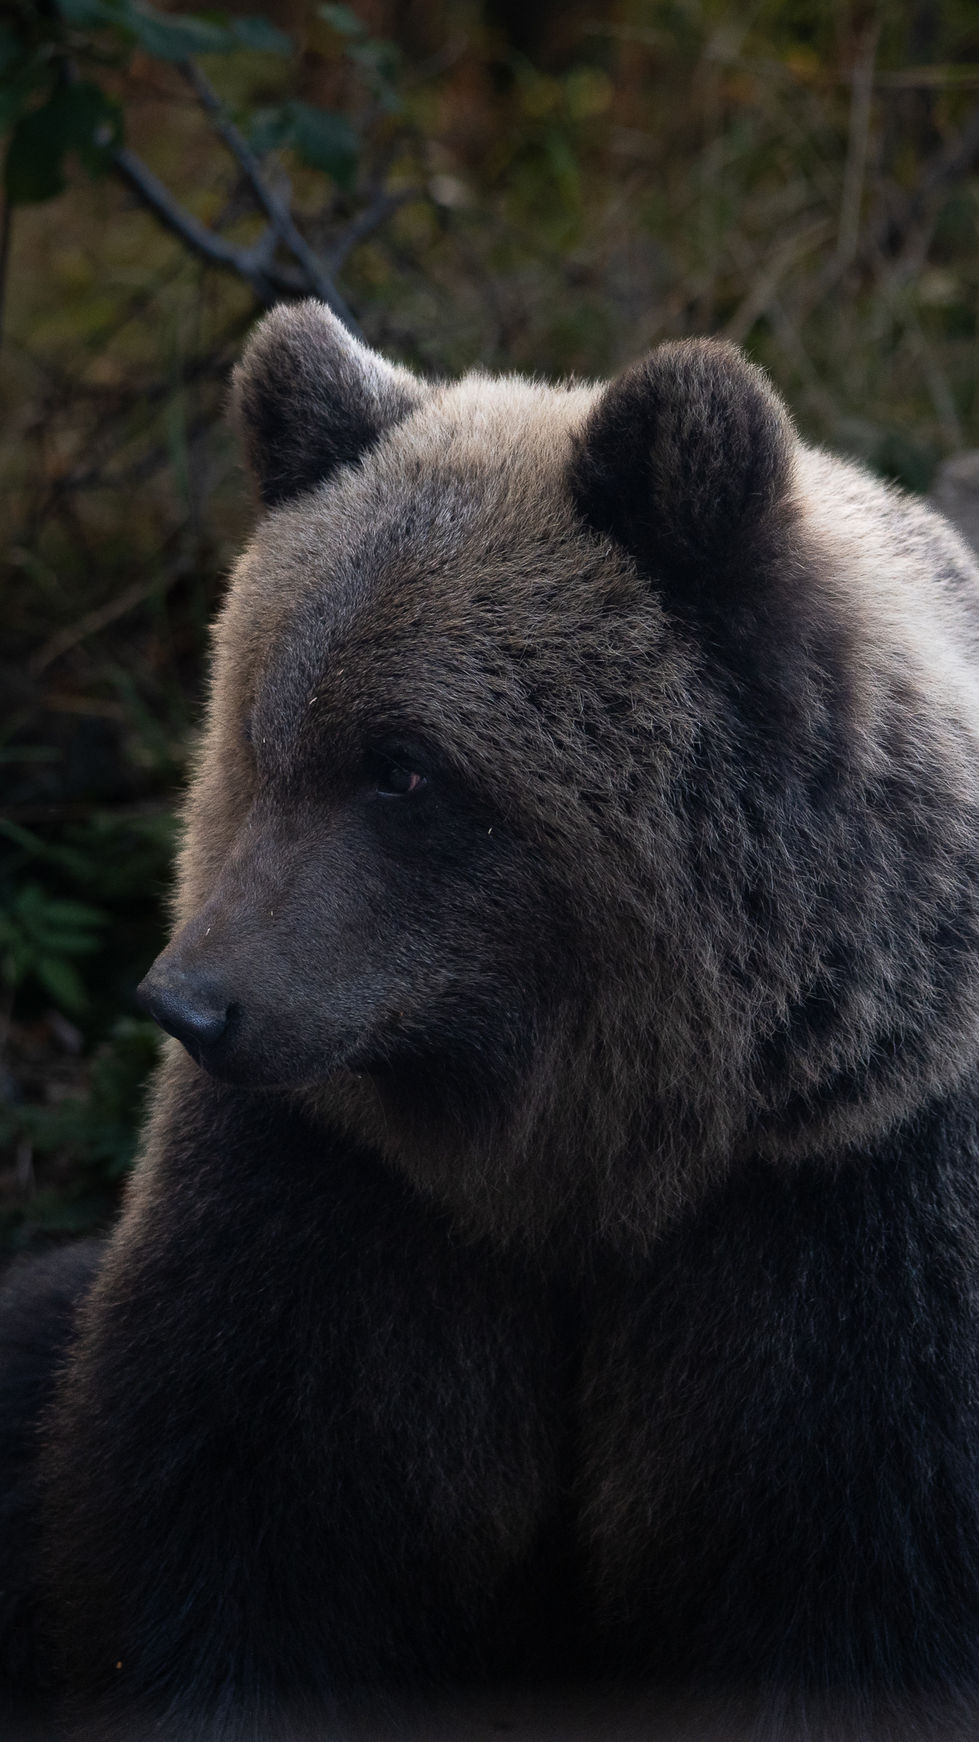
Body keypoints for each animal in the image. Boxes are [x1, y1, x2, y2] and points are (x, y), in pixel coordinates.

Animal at [5, 301, 979, 1740]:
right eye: (258, 729)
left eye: (404, 766)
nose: (188, 999)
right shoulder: (335, 1208)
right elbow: (240, 1525)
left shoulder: (846, 1215)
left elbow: (856, 1587)